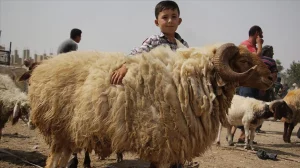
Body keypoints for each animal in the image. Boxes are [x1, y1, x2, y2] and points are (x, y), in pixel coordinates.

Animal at [25, 42, 274, 167]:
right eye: (244, 61)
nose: (272, 77)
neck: (188, 81)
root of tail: (42, 68)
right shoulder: (166, 146)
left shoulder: (167, 149)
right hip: (61, 134)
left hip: (66, 137)